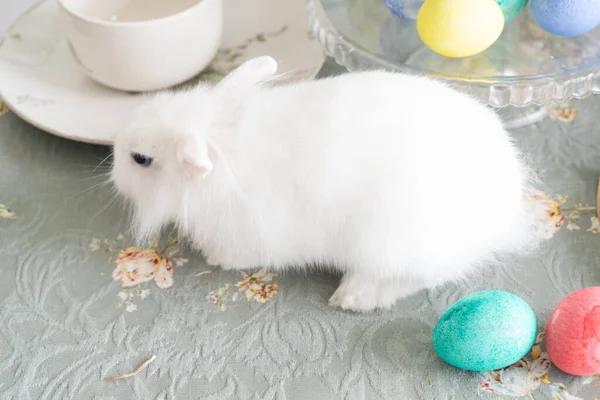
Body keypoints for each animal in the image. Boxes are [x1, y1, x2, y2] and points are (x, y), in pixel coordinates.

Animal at [111, 56, 544, 312]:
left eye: (141, 159)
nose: (114, 174)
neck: (223, 158)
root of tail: (505, 209)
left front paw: (215, 258)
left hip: (389, 245)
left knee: (415, 278)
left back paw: (354, 296)